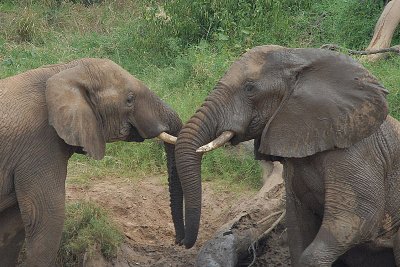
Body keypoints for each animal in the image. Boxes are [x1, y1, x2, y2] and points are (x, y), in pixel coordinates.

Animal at [0, 59, 183, 267]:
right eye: (129, 99)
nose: (179, 241)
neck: (64, 69)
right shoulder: (38, 145)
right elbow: (46, 217)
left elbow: (12, 226)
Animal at [174, 45, 400, 266]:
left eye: (250, 88)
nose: (182, 241)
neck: (300, 57)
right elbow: (298, 225)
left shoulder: (357, 152)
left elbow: (358, 217)